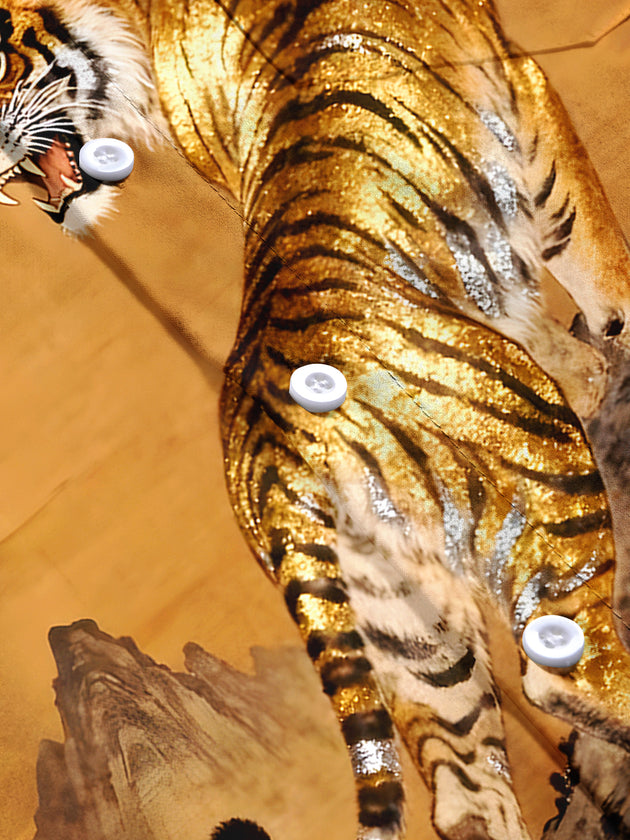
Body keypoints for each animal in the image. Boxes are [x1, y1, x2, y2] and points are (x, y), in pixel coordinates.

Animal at [3, 0, 630, 838]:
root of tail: (274, 472)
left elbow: (530, 302)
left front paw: (591, 372)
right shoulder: (523, 91)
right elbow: (594, 251)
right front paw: (610, 354)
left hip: (408, 631)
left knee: (466, 800)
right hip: (544, 490)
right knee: (567, 674)